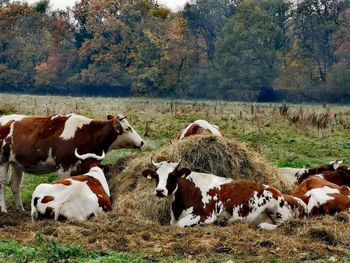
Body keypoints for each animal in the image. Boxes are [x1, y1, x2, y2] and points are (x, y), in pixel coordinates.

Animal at [0, 113, 144, 212]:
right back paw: (4, 209)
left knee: (15, 184)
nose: (142, 142)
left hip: (16, 163)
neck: (87, 133)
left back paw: (20, 208)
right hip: (3, 161)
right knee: (2, 184)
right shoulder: (64, 166)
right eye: (128, 128)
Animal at [142, 160, 306, 230]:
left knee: (281, 224)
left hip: (275, 208)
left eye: (172, 175)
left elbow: (181, 225)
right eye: (156, 176)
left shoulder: (206, 214)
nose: (159, 191)